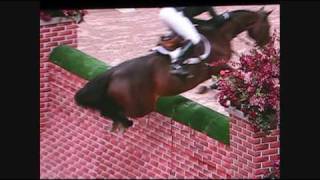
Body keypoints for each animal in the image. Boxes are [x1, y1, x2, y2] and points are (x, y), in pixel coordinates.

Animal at [74, 7, 272, 133]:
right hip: (140, 106)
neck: (220, 33)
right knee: (110, 109)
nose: (266, 44)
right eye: (268, 26)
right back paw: (124, 122)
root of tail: (113, 73)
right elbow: (232, 75)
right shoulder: (218, 66)